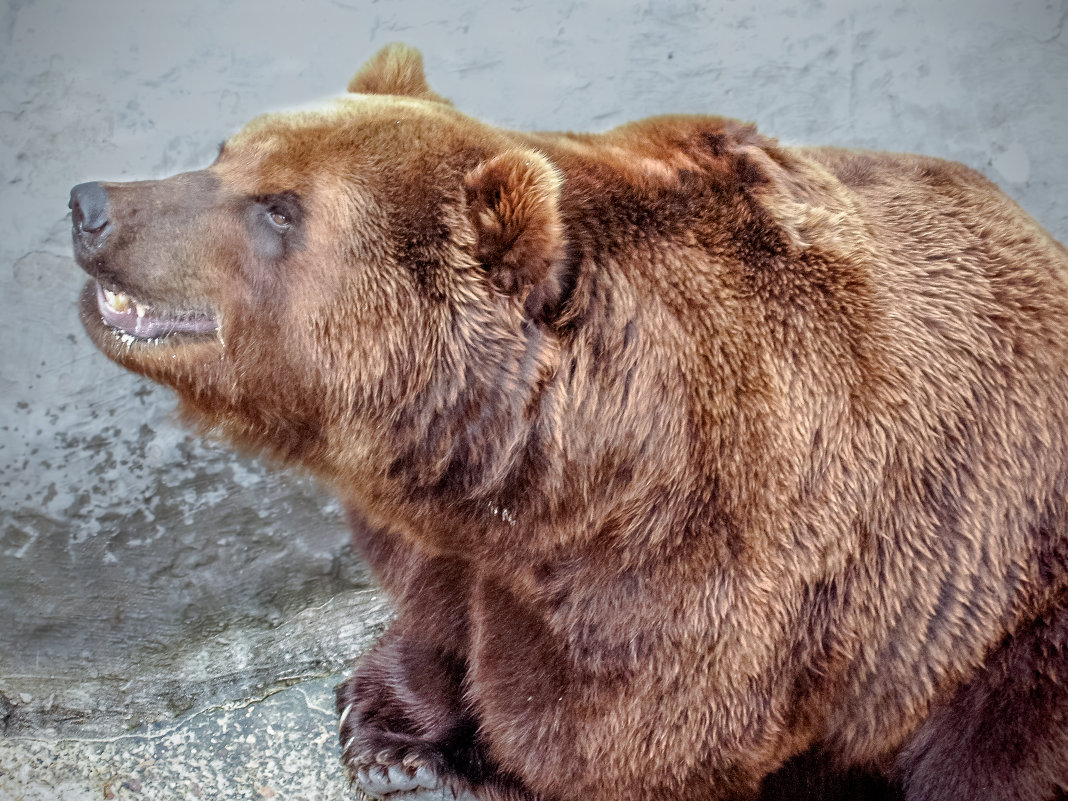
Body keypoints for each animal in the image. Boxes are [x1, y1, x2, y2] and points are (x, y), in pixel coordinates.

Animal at [71, 45, 1068, 801]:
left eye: (279, 209)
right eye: (225, 148)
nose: (92, 205)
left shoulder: (707, 571)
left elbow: (615, 735)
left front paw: (454, 762)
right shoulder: (449, 529)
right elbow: (434, 607)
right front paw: (385, 718)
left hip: (1008, 623)